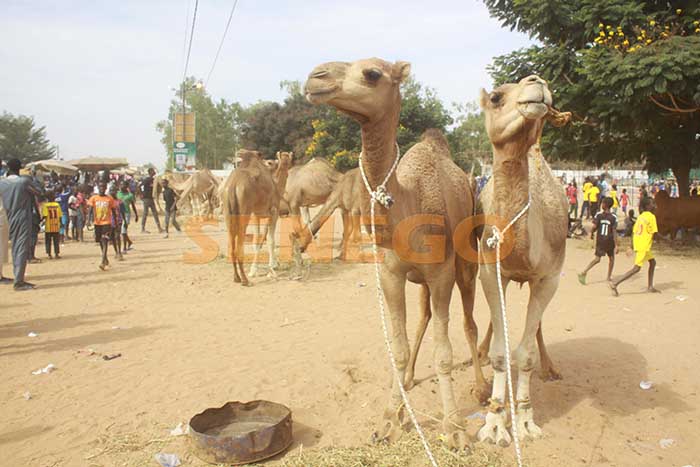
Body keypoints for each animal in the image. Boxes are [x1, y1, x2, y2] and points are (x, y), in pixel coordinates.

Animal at [223, 150, 292, 286]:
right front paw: (272, 271)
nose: (286, 164)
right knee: (239, 243)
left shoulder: (257, 215)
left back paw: (236, 277)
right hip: (245, 210)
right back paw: (245, 280)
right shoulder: (273, 212)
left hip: (228, 211)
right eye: (271, 162)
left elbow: (257, 241)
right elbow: (270, 241)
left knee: (232, 243)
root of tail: (233, 185)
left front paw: (258, 269)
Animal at [304, 58, 490, 450]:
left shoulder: (441, 273)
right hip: (420, 279)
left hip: (466, 262)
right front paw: (390, 418)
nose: (315, 78)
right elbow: (399, 347)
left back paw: (481, 388)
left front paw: (454, 428)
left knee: (468, 321)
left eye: (372, 73)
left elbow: (445, 352)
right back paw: (407, 381)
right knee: (424, 318)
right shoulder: (390, 274)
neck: (409, 202)